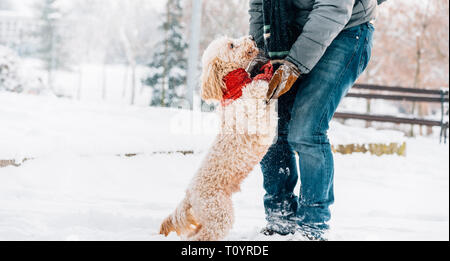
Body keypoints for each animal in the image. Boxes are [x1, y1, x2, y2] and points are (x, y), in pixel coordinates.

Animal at [158, 35, 278, 239]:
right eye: (232, 45)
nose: (251, 37)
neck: (234, 87)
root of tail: (189, 194)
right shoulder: (250, 111)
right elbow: (255, 90)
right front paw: (264, 74)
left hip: (208, 218)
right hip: (219, 215)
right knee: (202, 236)